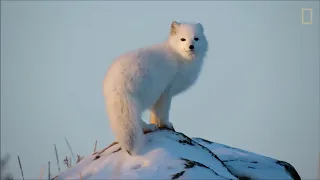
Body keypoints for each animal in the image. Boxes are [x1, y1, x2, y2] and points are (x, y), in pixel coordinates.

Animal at [102, 21, 208, 155]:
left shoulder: (159, 95)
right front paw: (166, 124)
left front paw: (156, 123)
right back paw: (148, 127)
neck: (179, 57)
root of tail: (117, 82)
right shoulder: (166, 91)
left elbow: (154, 112)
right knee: (136, 117)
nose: (191, 46)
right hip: (145, 95)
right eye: (182, 39)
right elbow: (163, 112)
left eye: (196, 39)